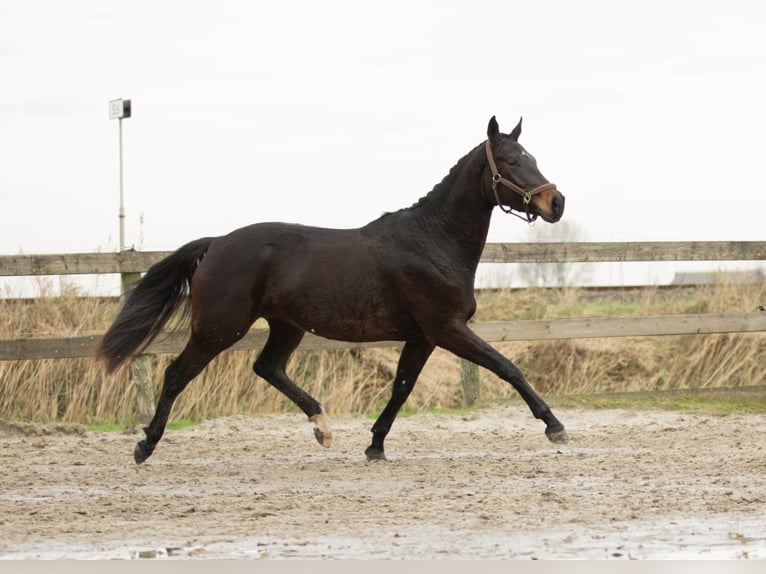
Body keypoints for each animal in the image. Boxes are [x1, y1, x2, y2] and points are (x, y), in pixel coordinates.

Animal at [97, 116, 568, 464]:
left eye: (532, 157)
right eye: (509, 161)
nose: (556, 203)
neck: (434, 240)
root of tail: (216, 244)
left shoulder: (422, 337)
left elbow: (401, 388)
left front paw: (375, 446)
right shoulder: (447, 329)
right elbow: (508, 368)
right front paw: (555, 427)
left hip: (284, 326)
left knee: (267, 367)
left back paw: (322, 426)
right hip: (219, 327)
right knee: (178, 374)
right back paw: (145, 445)